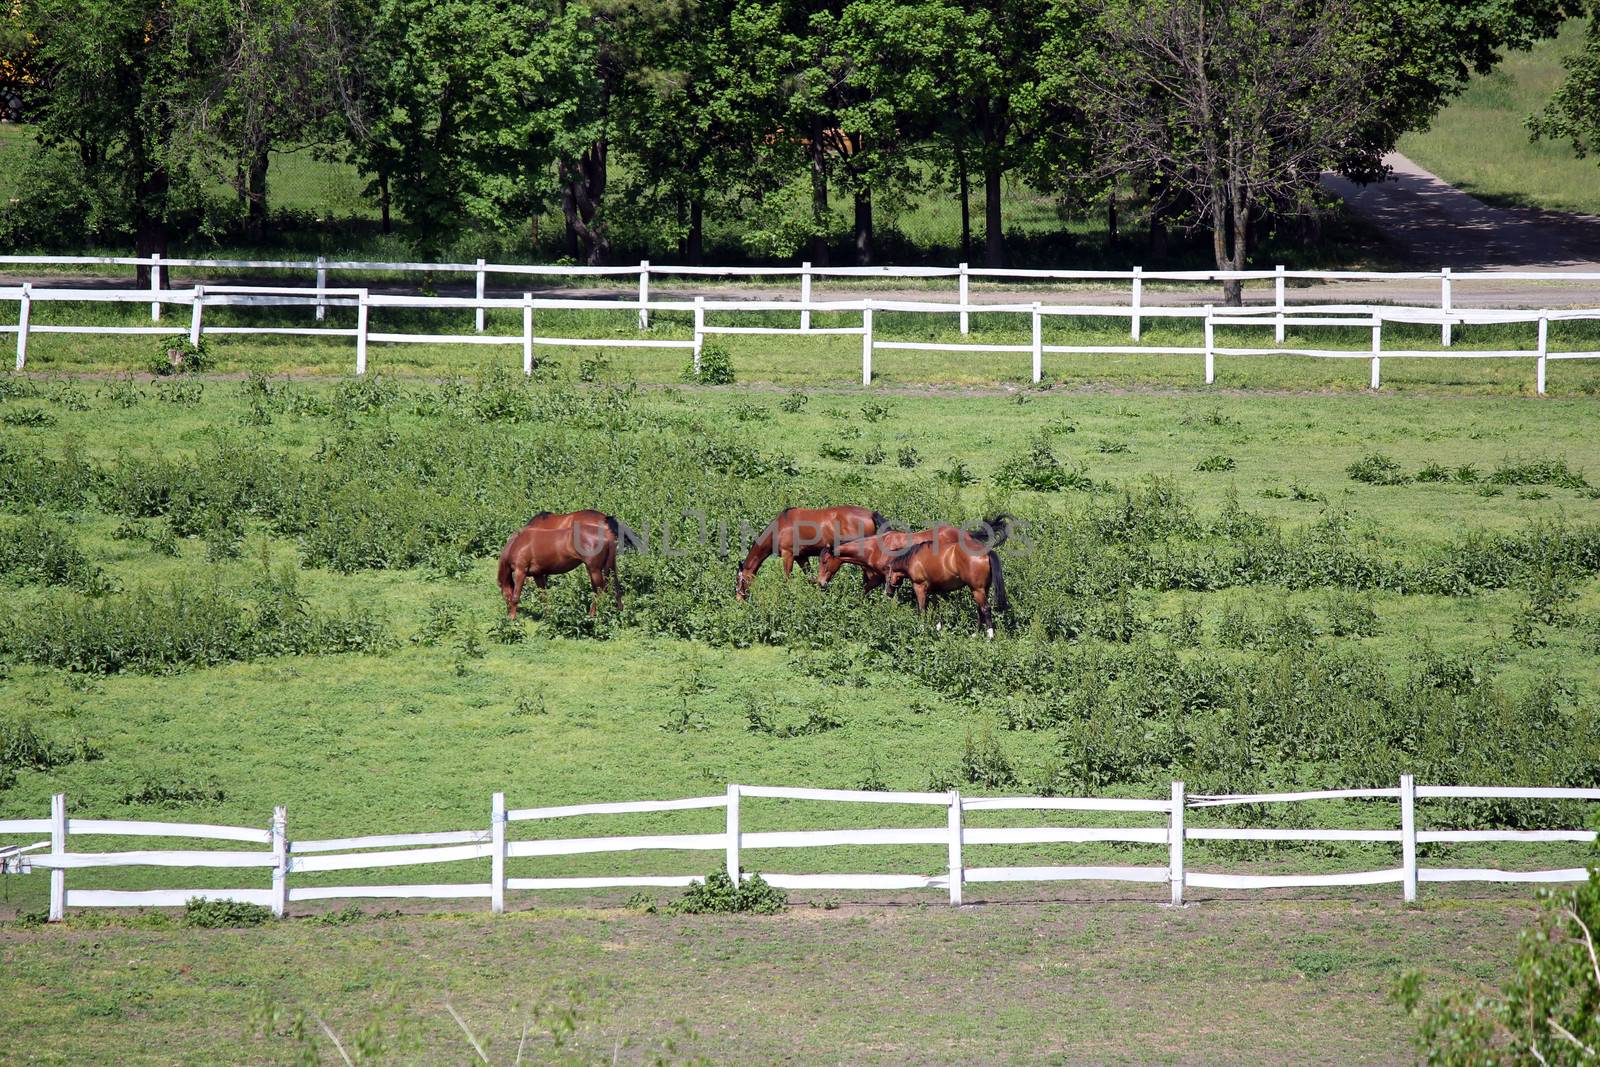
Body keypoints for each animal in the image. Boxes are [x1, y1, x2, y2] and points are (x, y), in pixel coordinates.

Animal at [492, 511, 636, 620]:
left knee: (600, 591)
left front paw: (511, 618)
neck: (517, 543)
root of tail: (606, 533)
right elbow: (543, 597)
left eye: (503, 595)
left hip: (594, 569)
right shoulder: (538, 575)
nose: (507, 611)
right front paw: (548, 617)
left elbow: (516, 597)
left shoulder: (520, 572)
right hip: (606, 568)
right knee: (613, 588)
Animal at [736, 508, 889, 601]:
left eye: (739, 580)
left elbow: (787, 578)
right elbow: (810, 576)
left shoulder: (788, 555)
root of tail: (870, 514)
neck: (780, 527)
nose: (739, 599)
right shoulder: (801, 557)